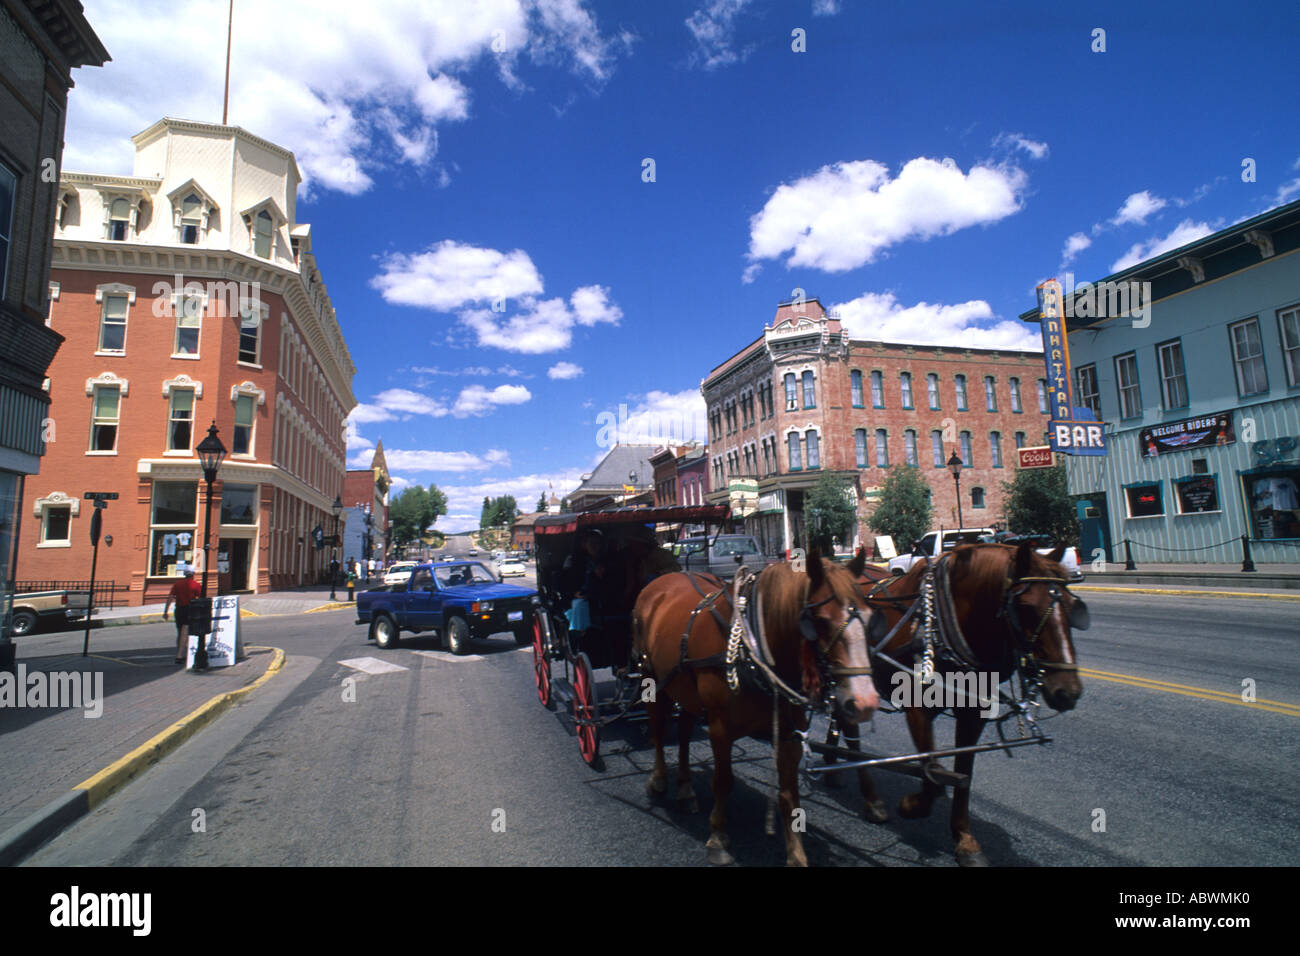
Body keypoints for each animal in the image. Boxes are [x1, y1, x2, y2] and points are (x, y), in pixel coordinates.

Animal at [631, 546, 878, 868]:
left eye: (871, 618)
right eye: (821, 621)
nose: (865, 702)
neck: (754, 645)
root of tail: (661, 581)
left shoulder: (789, 733)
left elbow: (789, 792)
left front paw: (796, 855)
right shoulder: (720, 728)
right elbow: (723, 780)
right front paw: (718, 837)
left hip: (684, 685)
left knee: (683, 730)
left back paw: (685, 789)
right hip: (650, 677)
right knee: (659, 729)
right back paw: (659, 780)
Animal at [837, 546, 1081, 868]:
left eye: (1073, 605)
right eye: (1026, 607)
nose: (1068, 691)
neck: (944, 622)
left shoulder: (973, 713)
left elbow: (964, 774)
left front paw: (964, 839)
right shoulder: (917, 708)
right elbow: (934, 774)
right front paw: (911, 805)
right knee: (851, 734)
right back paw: (870, 799)